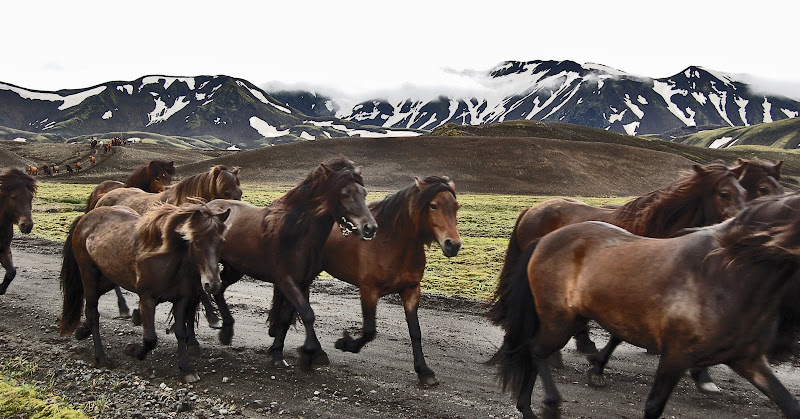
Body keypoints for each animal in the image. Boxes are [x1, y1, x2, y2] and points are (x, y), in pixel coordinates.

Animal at [0, 167, 36, 296]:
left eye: (31, 197)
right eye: (13, 196)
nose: (27, 225)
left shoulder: (4, 249)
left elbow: (12, 272)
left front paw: (1, 289)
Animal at [57, 203, 228, 384]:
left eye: (221, 241)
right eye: (196, 242)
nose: (213, 284)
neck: (165, 259)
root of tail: (85, 219)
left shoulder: (180, 300)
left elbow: (181, 333)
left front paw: (186, 369)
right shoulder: (147, 299)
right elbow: (150, 339)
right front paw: (132, 350)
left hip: (111, 276)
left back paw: (82, 331)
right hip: (89, 273)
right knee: (92, 312)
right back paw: (101, 357)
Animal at [206, 158, 382, 368]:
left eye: (364, 193)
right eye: (345, 194)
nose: (370, 228)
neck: (297, 234)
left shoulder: (301, 281)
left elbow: (285, 318)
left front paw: (277, 353)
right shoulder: (285, 280)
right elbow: (307, 313)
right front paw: (311, 351)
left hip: (235, 268)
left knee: (219, 289)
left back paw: (226, 331)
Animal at [488, 194, 800, 419]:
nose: (786, 346)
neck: (726, 274)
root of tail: (545, 239)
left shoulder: (748, 359)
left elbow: (789, 404)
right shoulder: (676, 355)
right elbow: (653, 406)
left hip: (571, 319)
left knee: (532, 353)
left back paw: (528, 406)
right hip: (559, 321)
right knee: (535, 351)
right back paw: (549, 405)